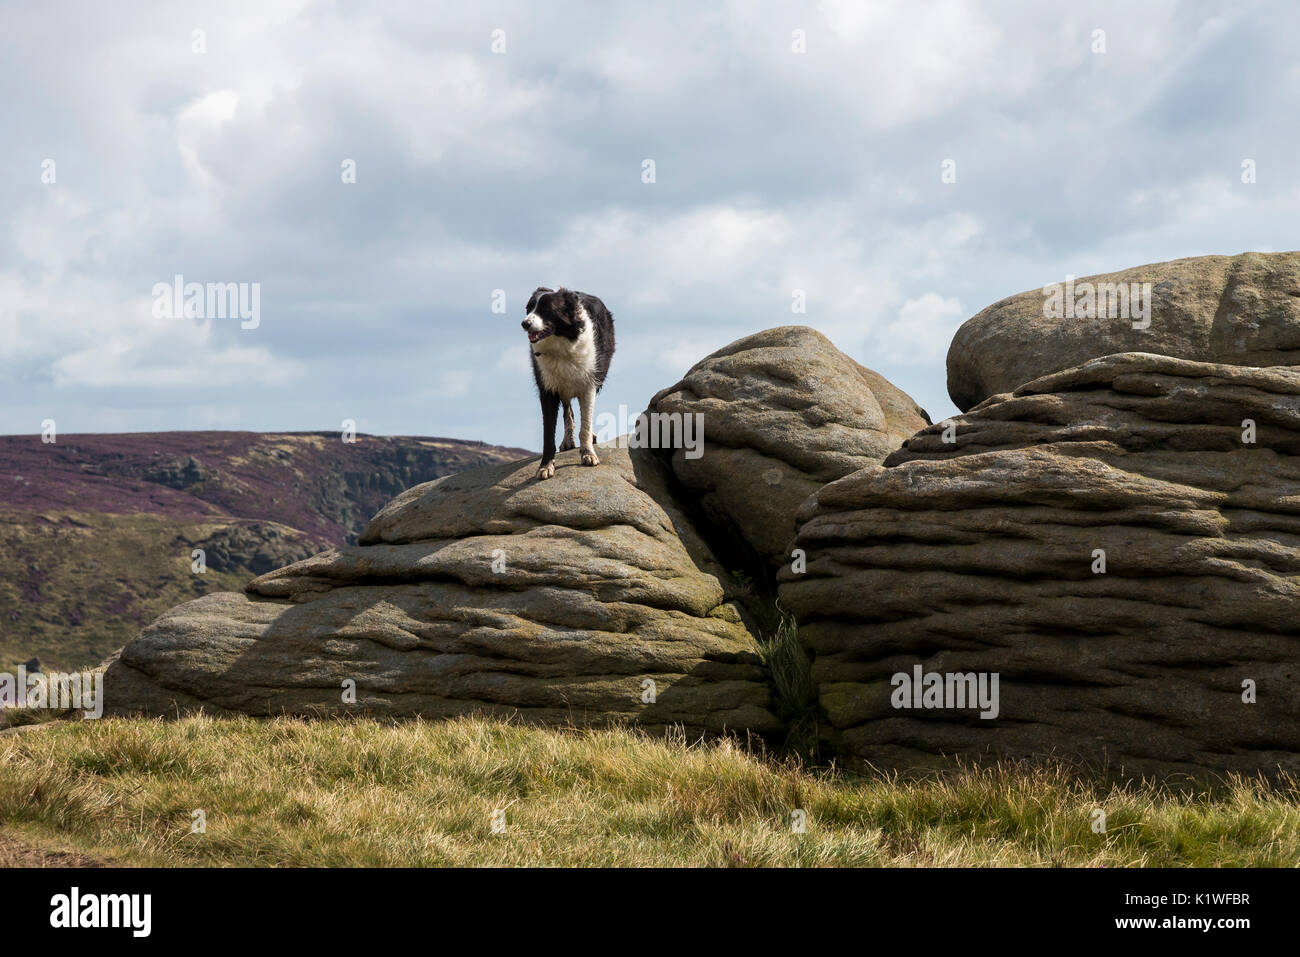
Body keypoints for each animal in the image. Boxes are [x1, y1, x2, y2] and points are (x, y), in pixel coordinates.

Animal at [520, 283, 616, 478]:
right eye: (529, 308)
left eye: (546, 308)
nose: (524, 323)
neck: (561, 344)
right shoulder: (547, 389)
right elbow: (548, 433)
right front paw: (545, 466)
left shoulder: (589, 384)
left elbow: (586, 424)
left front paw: (588, 454)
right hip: (563, 387)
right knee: (568, 410)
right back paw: (567, 440)